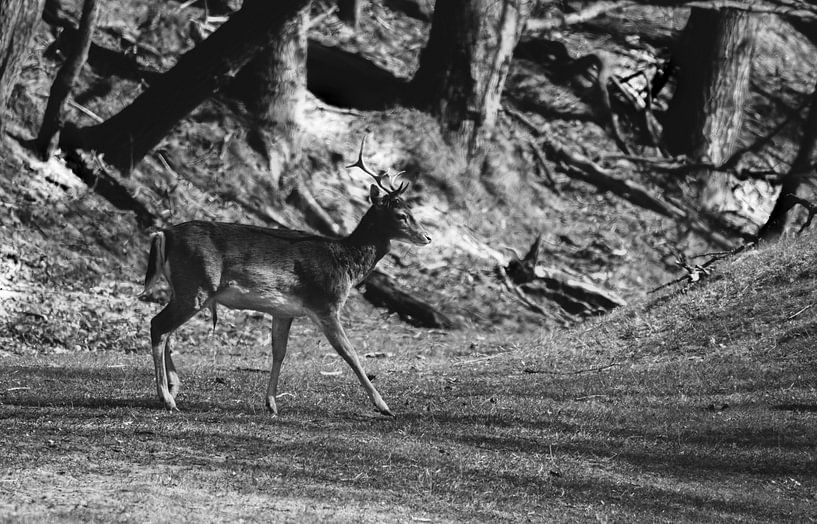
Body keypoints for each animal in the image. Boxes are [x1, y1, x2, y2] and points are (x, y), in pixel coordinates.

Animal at [140, 137, 431, 416]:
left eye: (412, 211)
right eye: (402, 215)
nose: (427, 237)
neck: (344, 263)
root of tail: (163, 234)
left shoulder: (283, 311)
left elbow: (279, 352)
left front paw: (271, 404)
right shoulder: (326, 305)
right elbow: (350, 354)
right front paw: (384, 406)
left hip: (183, 288)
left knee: (165, 327)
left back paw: (174, 387)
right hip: (197, 285)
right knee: (159, 325)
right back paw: (167, 398)